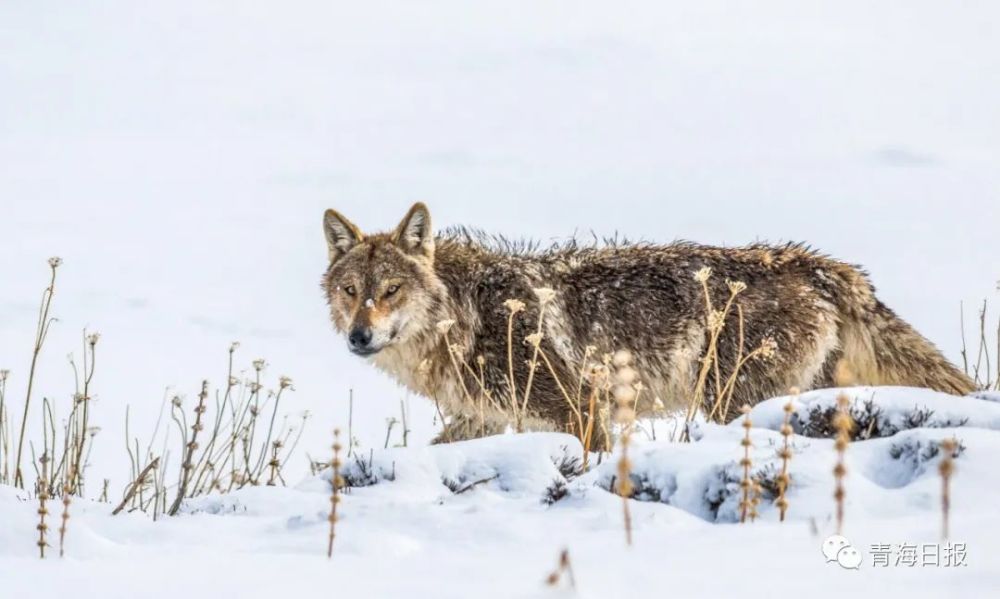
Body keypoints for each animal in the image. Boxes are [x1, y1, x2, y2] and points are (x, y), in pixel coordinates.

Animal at [322, 202, 976, 440]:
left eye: (391, 290)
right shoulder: (484, 421)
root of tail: (816, 263)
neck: (468, 313)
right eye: (351, 292)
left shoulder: (581, 410)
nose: (359, 336)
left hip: (731, 402)